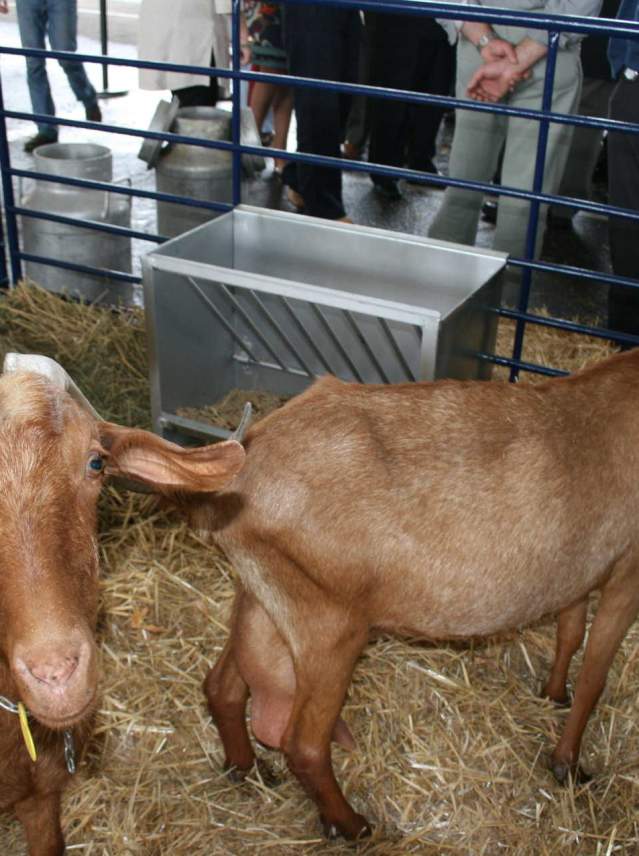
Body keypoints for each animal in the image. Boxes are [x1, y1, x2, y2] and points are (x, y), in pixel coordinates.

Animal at [105, 347, 639, 841]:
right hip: (330, 625)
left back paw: (247, 769)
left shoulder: (577, 568)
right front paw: (568, 764)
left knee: (224, 686)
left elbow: (570, 630)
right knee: (304, 742)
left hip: (264, 602)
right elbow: (595, 675)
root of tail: (238, 469)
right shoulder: (628, 572)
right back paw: (352, 825)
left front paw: (553, 694)